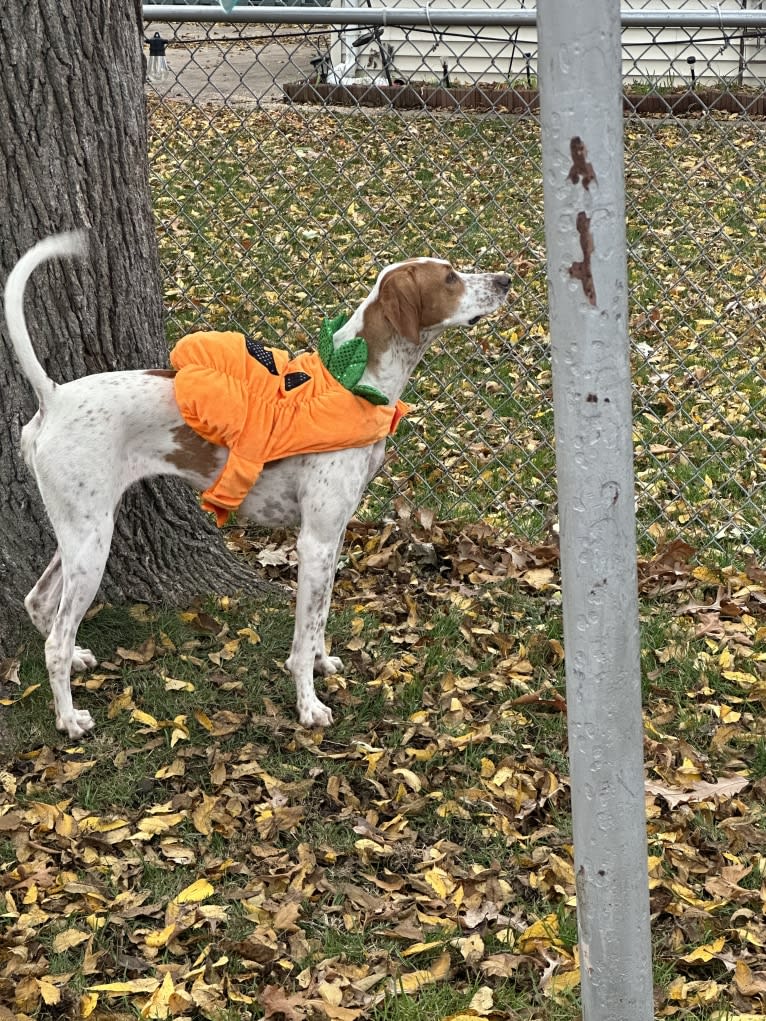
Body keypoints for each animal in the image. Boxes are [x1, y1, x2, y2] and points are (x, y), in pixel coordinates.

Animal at [6, 234, 512, 739]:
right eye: (449, 277)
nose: (507, 279)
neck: (353, 381)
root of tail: (55, 398)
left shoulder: (332, 537)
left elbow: (320, 617)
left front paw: (324, 662)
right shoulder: (314, 542)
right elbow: (302, 639)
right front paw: (309, 706)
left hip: (82, 532)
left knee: (39, 602)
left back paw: (77, 658)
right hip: (93, 543)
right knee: (55, 638)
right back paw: (69, 719)